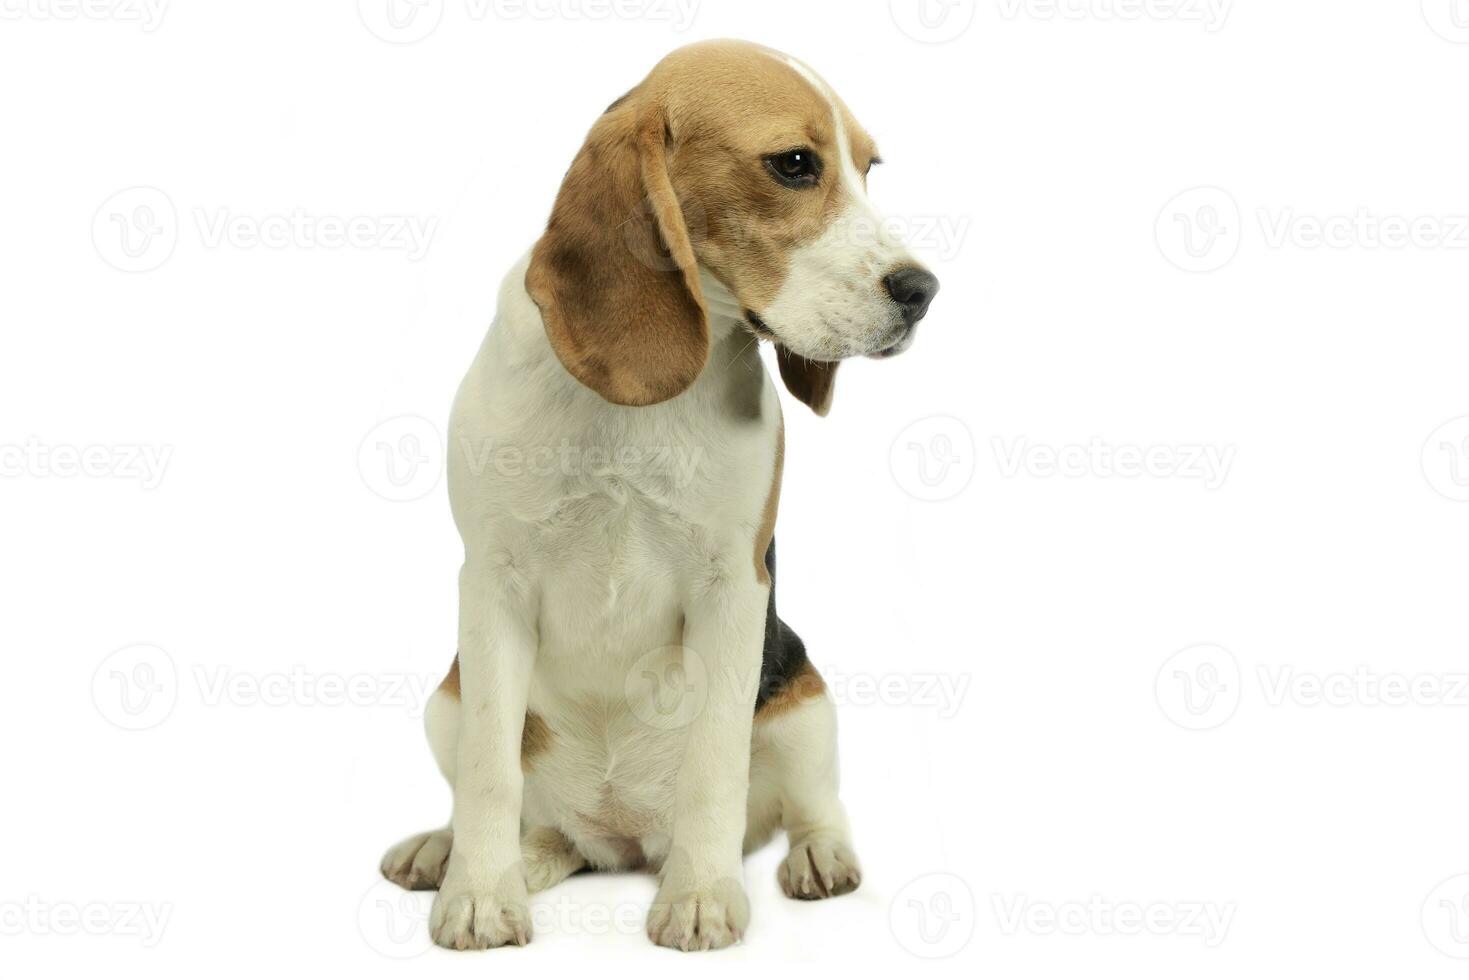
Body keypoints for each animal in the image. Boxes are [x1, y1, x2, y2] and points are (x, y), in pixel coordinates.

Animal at [379, 38, 940, 952]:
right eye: (793, 164)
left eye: (868, 169)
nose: (922, 291)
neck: (638, 405)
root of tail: (620, 840)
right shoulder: (491, 584)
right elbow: (490, 773)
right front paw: (480, 895)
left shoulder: (733, 588)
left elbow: (714, 765)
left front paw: (702, 895)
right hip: (445, 699)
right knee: (522, 812)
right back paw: (460, 849)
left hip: (805, 700)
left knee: (809, 802)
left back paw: (816, 857)